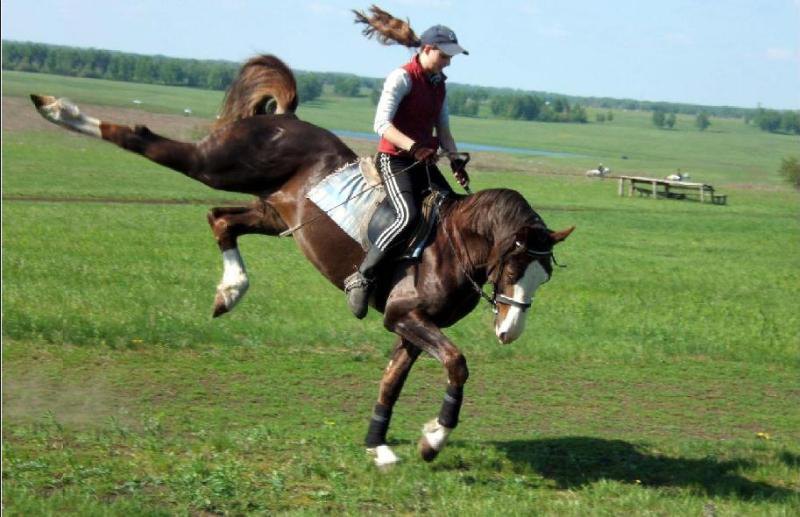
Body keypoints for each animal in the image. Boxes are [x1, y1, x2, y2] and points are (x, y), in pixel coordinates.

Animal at [28, 54, 572, 466]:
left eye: (543, 279)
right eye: (512, 268)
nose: (510, 331)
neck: (451, 245)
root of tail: (285, 120)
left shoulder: (409, 327)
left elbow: (392, 382)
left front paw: (381, 447)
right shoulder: (406, 316)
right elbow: (457, 364)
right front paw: (434, 438)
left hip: (274, 213)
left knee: (221, 220)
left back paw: (230, 291)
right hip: (217, 165)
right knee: (144, 139)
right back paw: (54, 108)